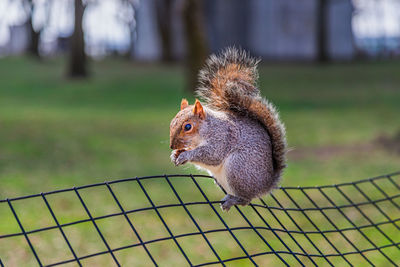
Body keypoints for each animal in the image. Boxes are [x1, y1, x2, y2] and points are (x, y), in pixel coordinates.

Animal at [170, 47, 286, 211]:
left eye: (188, 126)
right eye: (171, 123)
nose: (172, 146)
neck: (208, 128)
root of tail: (266, 185)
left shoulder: (223, 137)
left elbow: (211, 154)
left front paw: (186, 155)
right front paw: (175, 154)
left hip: (237, 168)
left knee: (246, 199)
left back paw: (233, 200)